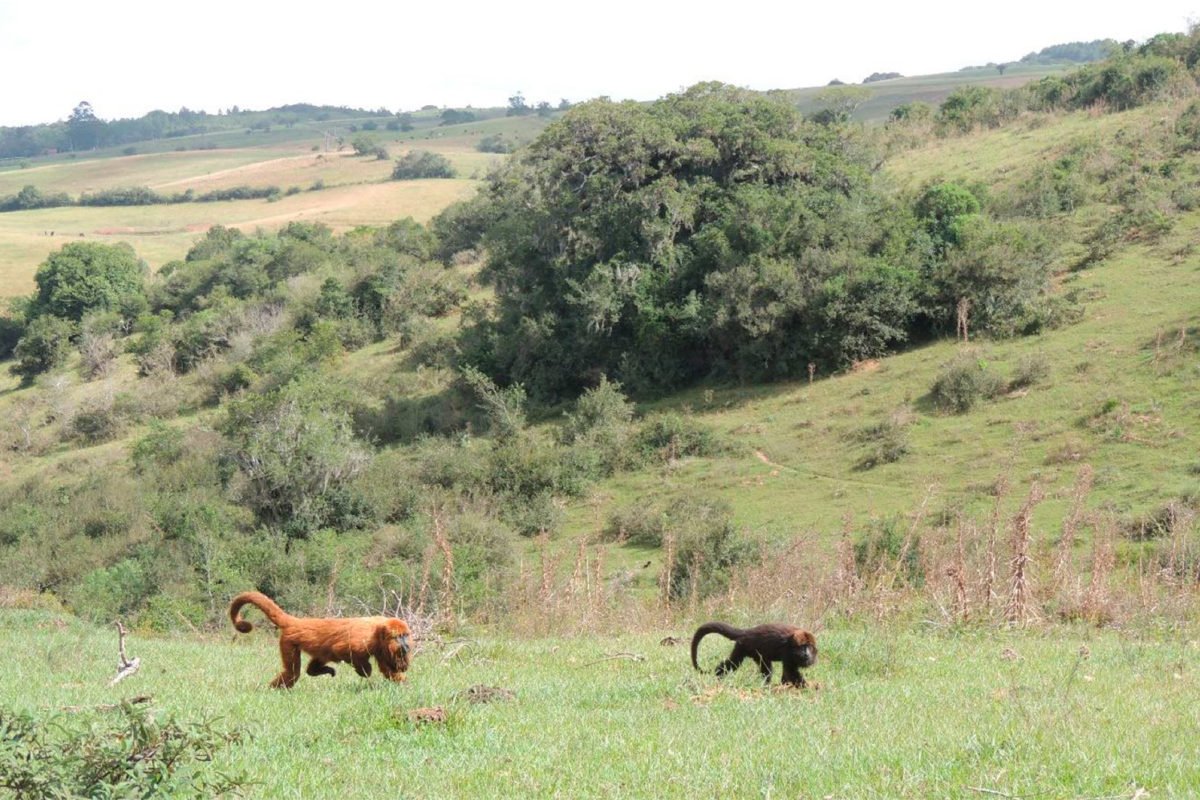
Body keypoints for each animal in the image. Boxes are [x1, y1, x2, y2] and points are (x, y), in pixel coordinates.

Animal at [231, 592, 415, 690]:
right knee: (292, 673)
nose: (406, 645)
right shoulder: (364, 638)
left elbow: (387, 669)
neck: (378, 631)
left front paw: (404, 685)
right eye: (398, 636)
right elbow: (343, 650)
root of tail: (297, 622)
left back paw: (315, 670)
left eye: (406, 635)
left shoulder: (380, 648)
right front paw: (364, 670)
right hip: (288, 642)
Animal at [691, 618, 820, 690]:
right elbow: (791, 672)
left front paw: (786, 686)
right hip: (749, 646)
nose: (806, 653)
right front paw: (809, 687)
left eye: (809, 647)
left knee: (737, 663)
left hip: (744, 647)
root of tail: (747, 632)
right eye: (802, 647)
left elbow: (787, 673)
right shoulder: (788, 652)